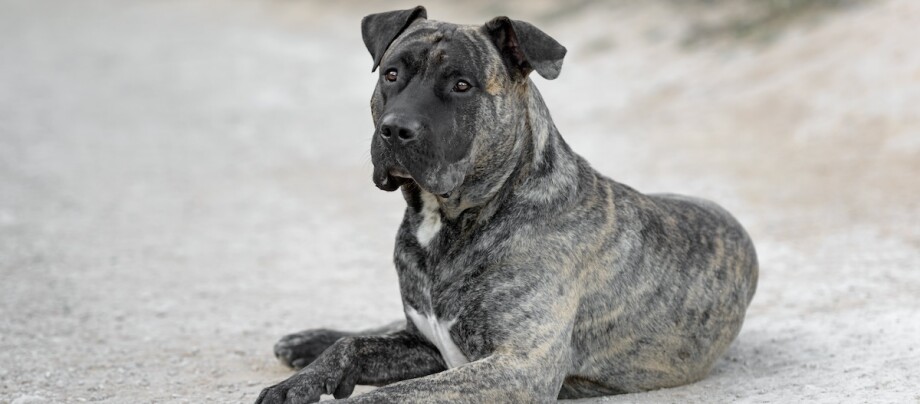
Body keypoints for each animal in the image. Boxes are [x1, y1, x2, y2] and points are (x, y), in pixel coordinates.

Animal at [255, 6, 760, 404]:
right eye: (391, 74)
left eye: (462, 85)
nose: (396, 129)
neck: (451, 220)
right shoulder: (428, 344)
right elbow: (352, 348)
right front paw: (300, 380)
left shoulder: (516, 368)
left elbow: (392, 395)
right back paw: (308, 340)